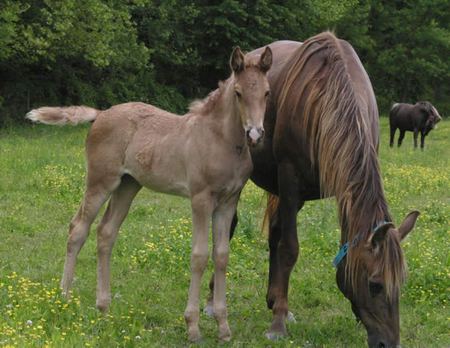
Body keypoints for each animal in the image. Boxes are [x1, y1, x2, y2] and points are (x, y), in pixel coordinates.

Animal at [29, 46, 274, 342]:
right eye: (238, 92)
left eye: (267, 92)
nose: (255, 134)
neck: (221, 140)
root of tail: (100, 114)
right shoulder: (201, 199)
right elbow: (199, 256)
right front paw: (192, 326)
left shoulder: (228, 202)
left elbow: (222, 256)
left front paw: (224, 327)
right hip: (101, 181)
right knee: (78, 229)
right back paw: (63, 299)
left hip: (128, 184)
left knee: (106, 232)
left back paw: (103, 307)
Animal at [208, 31, 422, 346]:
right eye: (375, 285)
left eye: (401, 284)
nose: (388, 342)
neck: (328, 98)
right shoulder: (289, 178)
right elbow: (289, 249)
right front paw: (278, 324)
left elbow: (284, 243)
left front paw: (281, 308)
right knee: (230, 228)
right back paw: (214, 302)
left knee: (274, 233)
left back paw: (274, 298)